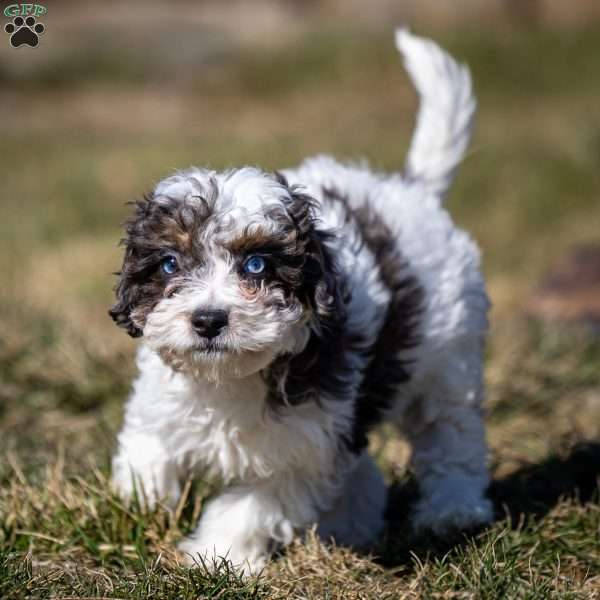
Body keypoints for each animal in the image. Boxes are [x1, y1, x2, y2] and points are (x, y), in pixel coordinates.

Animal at [109, 30, 492, 576]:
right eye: (168, 264)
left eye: (256, 265)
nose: (208, 320)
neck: (231, 378)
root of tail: (411, 190)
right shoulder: (160, 405)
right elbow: (147, 450)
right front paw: (140, 504)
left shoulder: (301, 443)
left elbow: (252, 505)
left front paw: (215, 558)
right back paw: (352, 526)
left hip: (449, 358)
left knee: (451, 432)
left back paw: (452, 511)